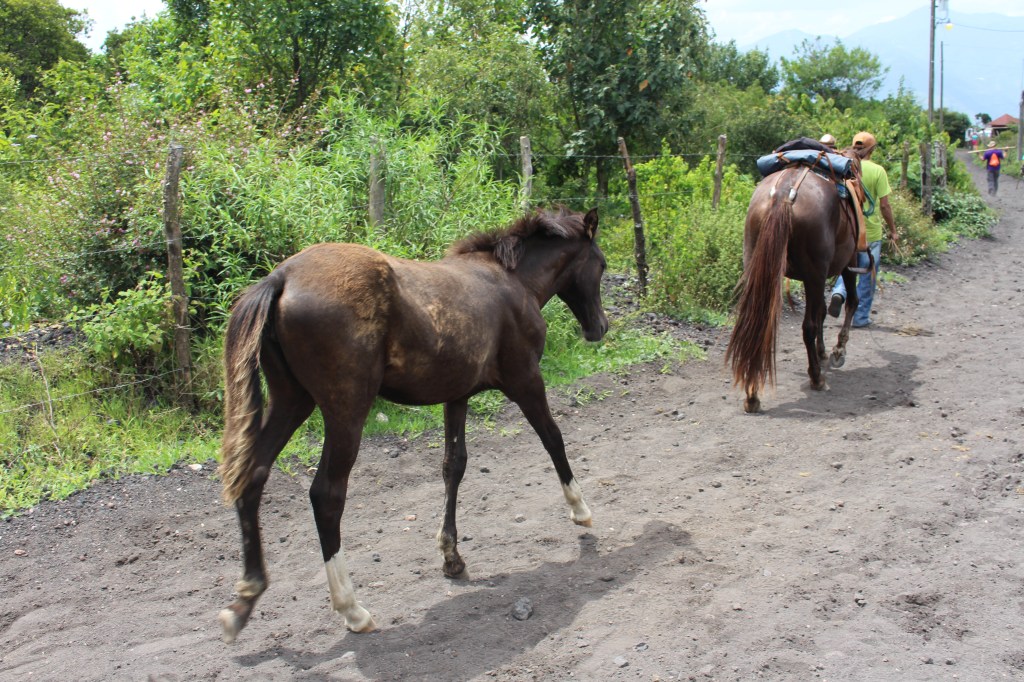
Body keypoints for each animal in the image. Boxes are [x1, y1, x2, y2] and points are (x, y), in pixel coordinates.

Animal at [216, 206, 608, 643]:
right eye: (602, 265)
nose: (599, 327)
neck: (512, 279)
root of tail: (281, 278)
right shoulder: (525, 379)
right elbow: (553, 437)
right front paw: (580, 509)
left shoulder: (457, 395)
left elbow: (454, 466)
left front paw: (452, 557)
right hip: (346, 410)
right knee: (326, 495)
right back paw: (352, 609)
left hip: (290, 399)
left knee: (252, 475)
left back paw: (244, 600)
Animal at [726, 163, 861, 413]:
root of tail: (783, 194)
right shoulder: (848, 261)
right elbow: (849, 303)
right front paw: (838, 350)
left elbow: (823, 311)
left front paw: (823, 351)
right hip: (815, 274)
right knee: (809, 326)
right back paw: (816, 378)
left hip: (756, 265)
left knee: (756, 324)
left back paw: (752, 395)